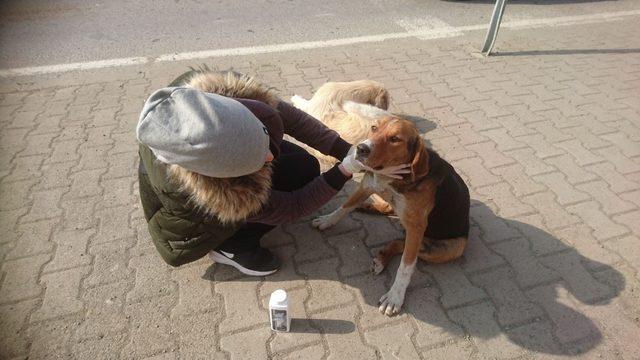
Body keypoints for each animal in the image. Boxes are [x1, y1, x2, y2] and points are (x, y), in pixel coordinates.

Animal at [292, 81, 468, 316]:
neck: (391, 180)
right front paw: (328, 220)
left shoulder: (417, 227)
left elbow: (405, 266)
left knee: (400, 244)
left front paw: (395, 296)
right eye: (374, 128)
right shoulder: (366, 186)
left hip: (446, 249)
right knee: (392, 226)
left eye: (395, 139)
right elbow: (344, 207)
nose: (361, 148)